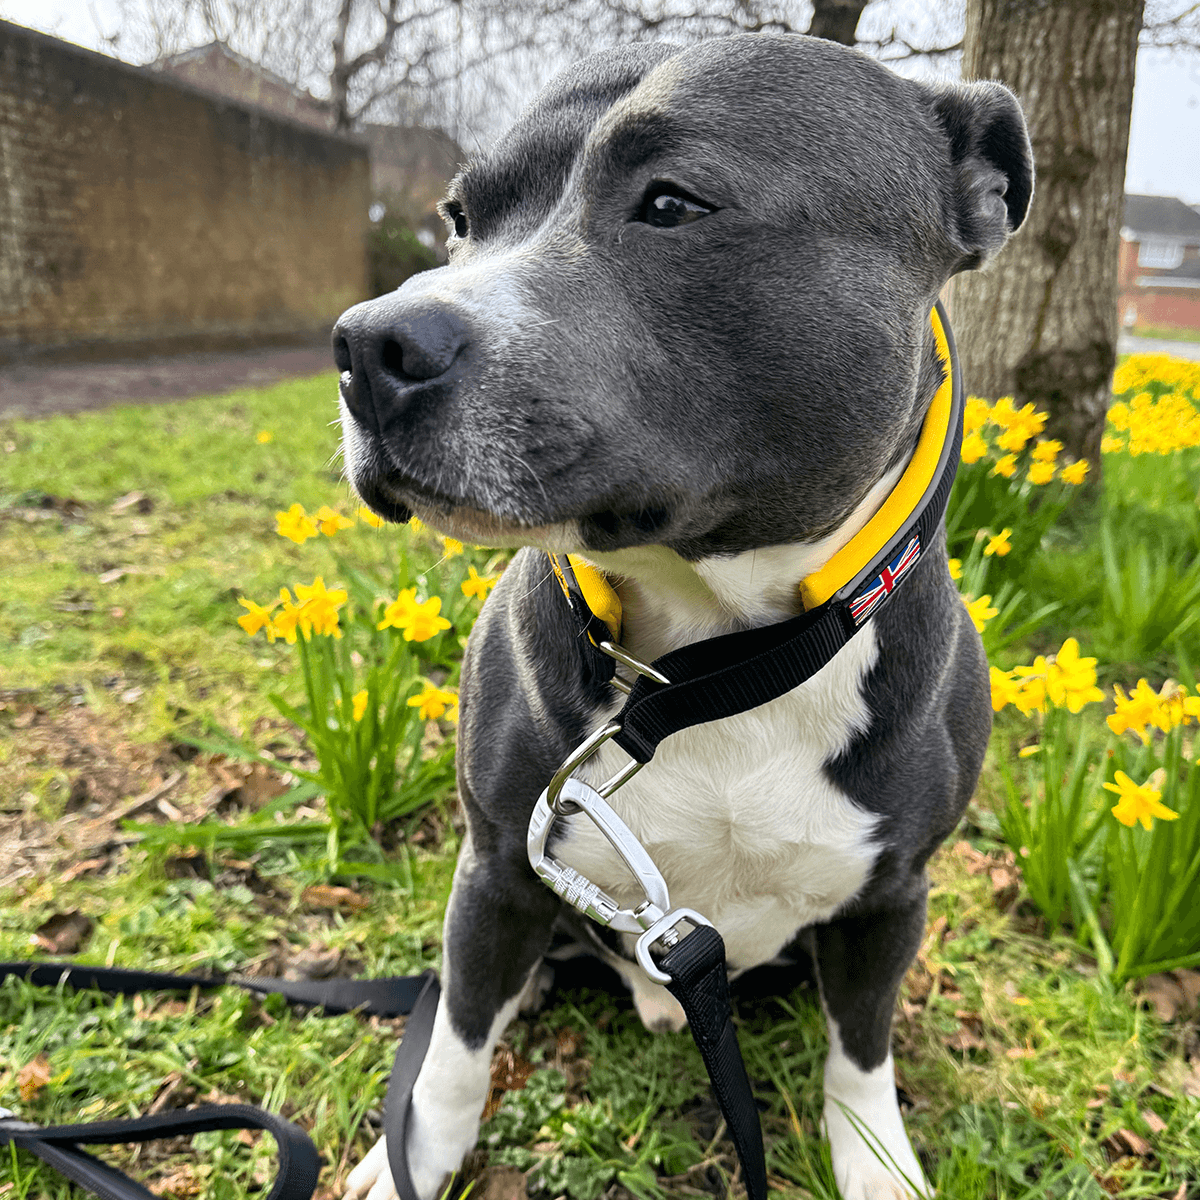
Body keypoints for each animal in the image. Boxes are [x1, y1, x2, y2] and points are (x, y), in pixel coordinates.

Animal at [331, 30, 1032, 1200]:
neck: (717, 660)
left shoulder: (892, 895)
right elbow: (455, 1055)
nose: (366, 345)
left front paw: (878, 1164)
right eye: (462, 216)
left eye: (674, 204)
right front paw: (407, 1164)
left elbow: (861, 1056)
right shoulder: (496, 866)